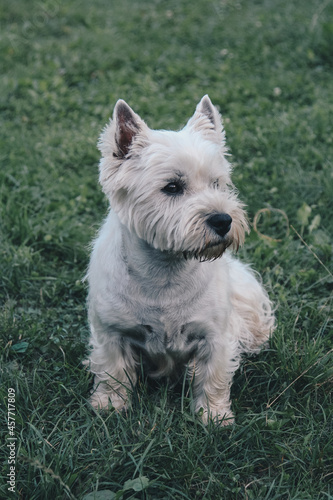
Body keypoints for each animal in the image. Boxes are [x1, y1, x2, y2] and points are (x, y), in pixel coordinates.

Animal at [83, 95, 274, 424]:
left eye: (217, 183)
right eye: (172, 187)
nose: (223, 220)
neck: (165, 272)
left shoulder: (215, 335)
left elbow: (213, 377)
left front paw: (214, 416)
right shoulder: (112, 331)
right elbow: (112, 371)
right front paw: (109, 406)